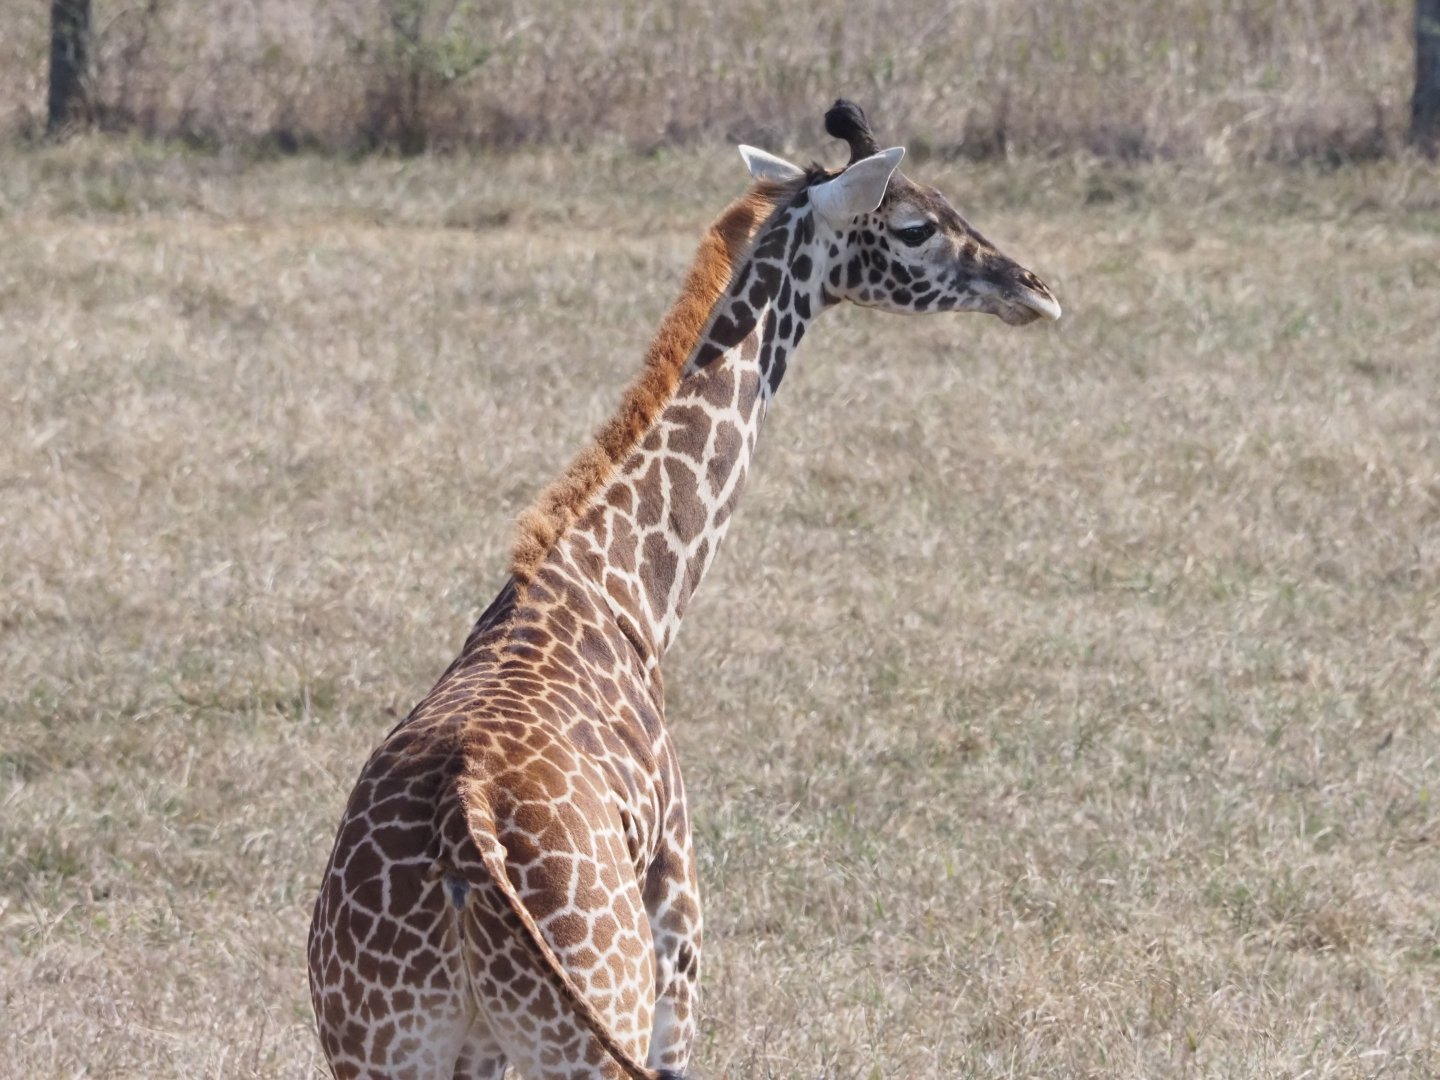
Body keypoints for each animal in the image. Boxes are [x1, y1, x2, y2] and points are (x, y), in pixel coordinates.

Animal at [307, 99, 1060, 1080]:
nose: (1033, 288)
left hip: (382, 1044)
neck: (621, 589)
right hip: (601, 1018)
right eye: (914, 225)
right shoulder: (681, 953)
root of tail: (463, 850)